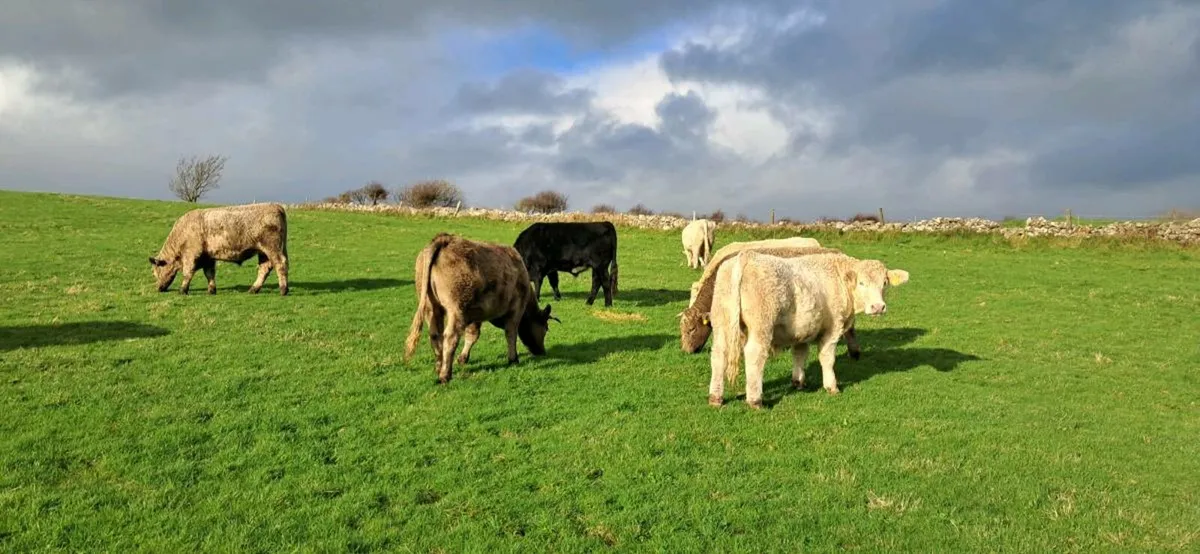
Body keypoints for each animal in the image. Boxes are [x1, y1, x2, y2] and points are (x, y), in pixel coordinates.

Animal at [148, 203, 289, 296]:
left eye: (155, 272)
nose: (158, 288)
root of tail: (276, 206)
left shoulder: (190, 255)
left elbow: (188, 273)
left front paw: (183, 290)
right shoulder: (208, 257)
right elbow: (209, 273)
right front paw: (211, 290)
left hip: (272, 248)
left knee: (280, 264)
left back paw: (283, 290)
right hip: (264, 252)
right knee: (264, 269)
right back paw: (254, 289)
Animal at [404, 233, 558, 384]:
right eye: (545, 329)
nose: (542, 352)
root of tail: (445, 239)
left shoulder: (475, 314)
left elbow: (472, 335)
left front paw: (463, 358)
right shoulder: (515, 310)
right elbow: (511, 333)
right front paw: (513, 359)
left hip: (432, 307)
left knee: (435, 335)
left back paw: (439, 367)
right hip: (456, 309)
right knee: (451, 337)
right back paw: (445, 374)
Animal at [707, 250, 909, 408]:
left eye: (884, 283)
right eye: (861, 283)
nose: (878, 307)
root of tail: (747, 255)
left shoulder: (802, 330)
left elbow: (799, 354)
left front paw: (798, 382)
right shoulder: (833, 328)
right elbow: (827, 358)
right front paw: (831, 386)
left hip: (721, 323)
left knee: (719, 355)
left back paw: (716, 397)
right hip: (761, 326)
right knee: (754, 355)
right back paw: (755, 400)